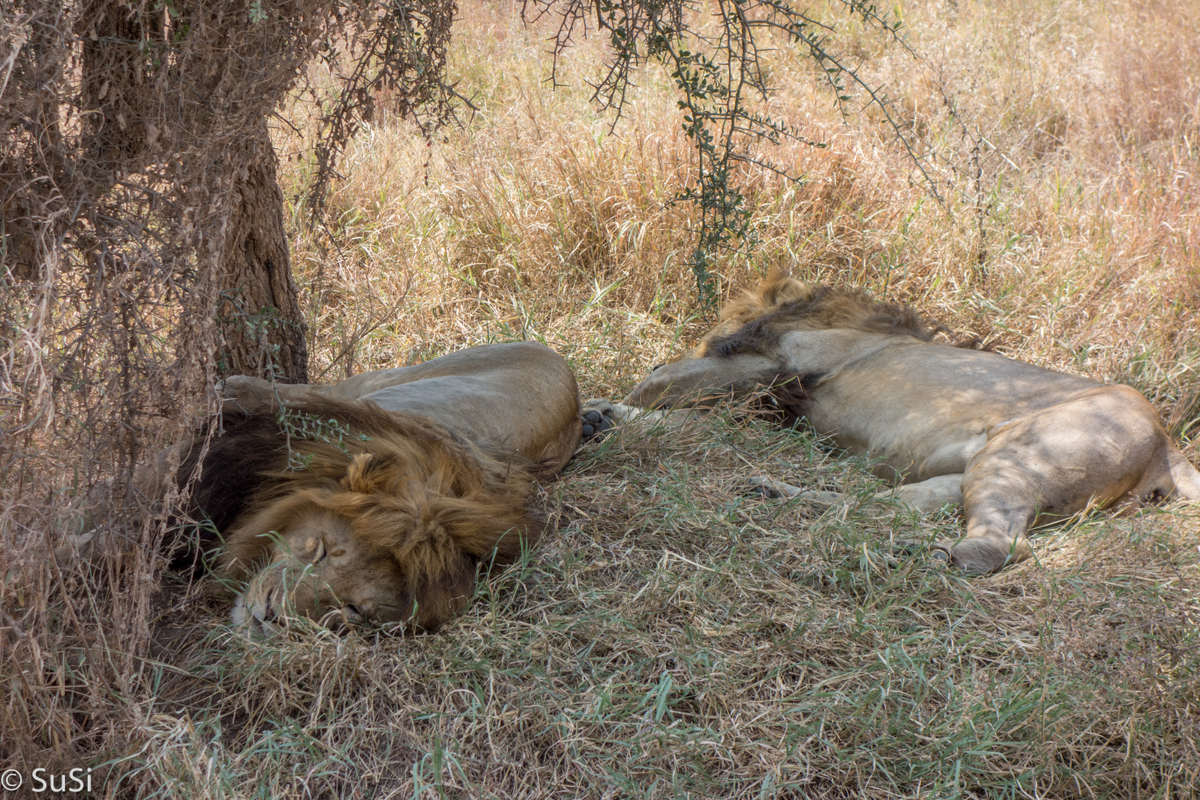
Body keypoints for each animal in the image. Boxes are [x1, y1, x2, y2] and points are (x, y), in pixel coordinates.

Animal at [64, 343, 580, 633]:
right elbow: (94, 514)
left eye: (352, 612)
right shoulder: (188, 472)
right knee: (299, 388)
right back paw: (233, 385)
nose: (269, 618)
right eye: (324, 550)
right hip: (383, 381)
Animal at [583, 272, 1200, 573]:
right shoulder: (773, 400)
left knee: (1002, 547)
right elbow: (693, 421)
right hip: (970, 474)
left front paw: (599, 411)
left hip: (1020, 456)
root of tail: (1169, 447)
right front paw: (600, 419)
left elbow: (660, 381)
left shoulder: (773, 365)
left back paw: (923, 560)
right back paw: (774, 493)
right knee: (881, 507)